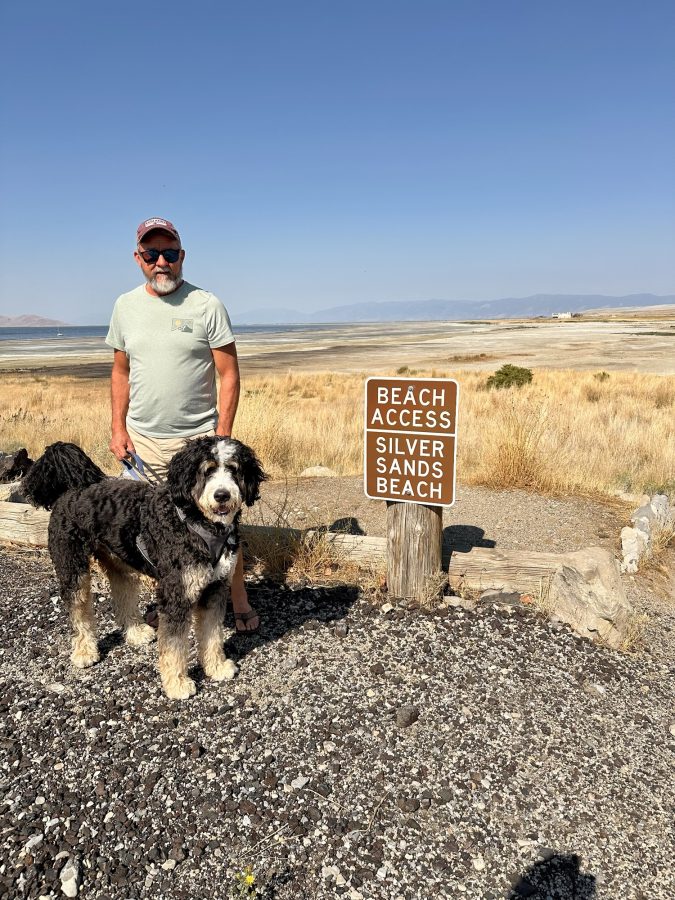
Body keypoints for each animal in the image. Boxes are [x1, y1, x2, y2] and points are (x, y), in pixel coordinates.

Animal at [22, 436, 267, 700]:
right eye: (207, 470)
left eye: (233, 469)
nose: (222, 495)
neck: (197, 525)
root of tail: (71, 489)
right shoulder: (176, 594)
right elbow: (174, 645)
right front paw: (177, 684)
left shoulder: (215, 588)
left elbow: (212, 634)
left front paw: (217, 667)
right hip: (72, 568)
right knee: (79, 612)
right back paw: (85, 651)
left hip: (120, 564)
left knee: (123, 597)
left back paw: (136, 631)